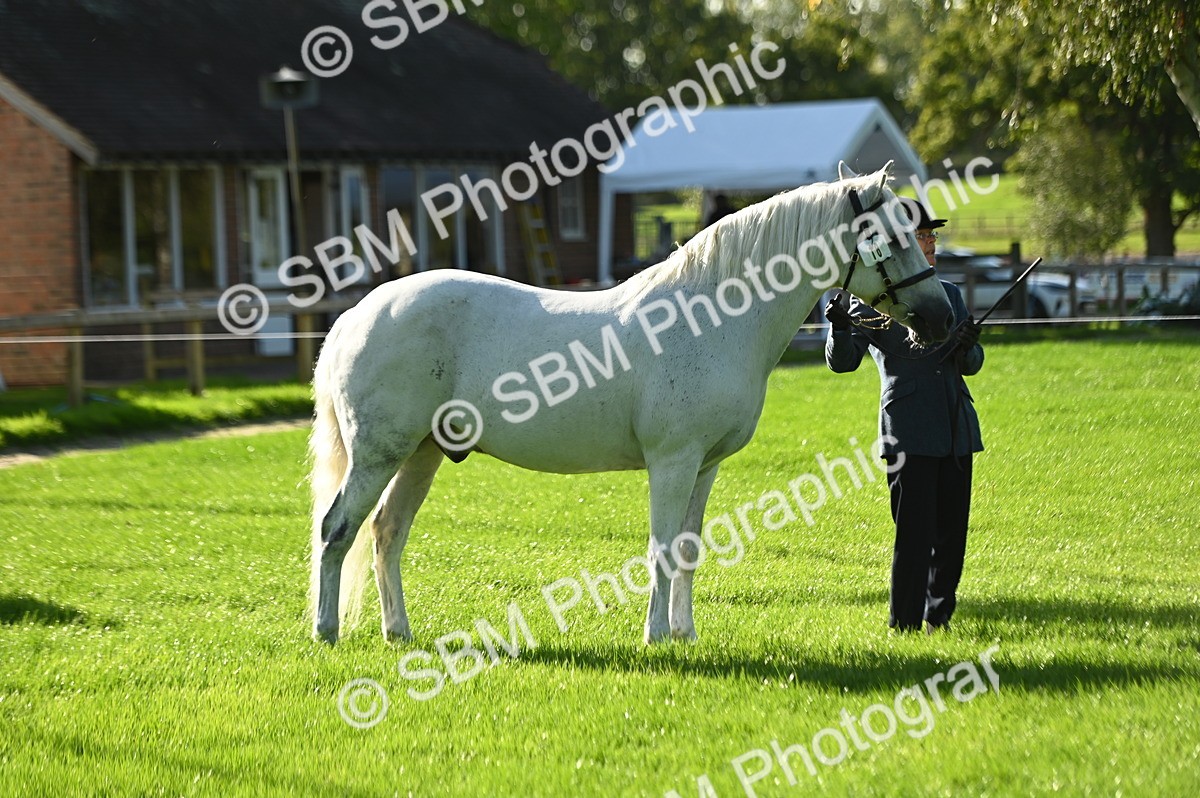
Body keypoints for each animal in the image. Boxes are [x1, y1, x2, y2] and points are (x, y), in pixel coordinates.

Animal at [308, 161, 954, 645]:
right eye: (891, 237)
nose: (942, 319)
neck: (711, 317)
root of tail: (356, 315)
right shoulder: (672, 462)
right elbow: (662, 548)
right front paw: (655, 637)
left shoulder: (704, 466)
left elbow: (689, 548)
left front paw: (685, 633)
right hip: (379, 454)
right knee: (337, 529)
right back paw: (326, 631)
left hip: (422, 453)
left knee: (387, 533)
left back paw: (398, 632)